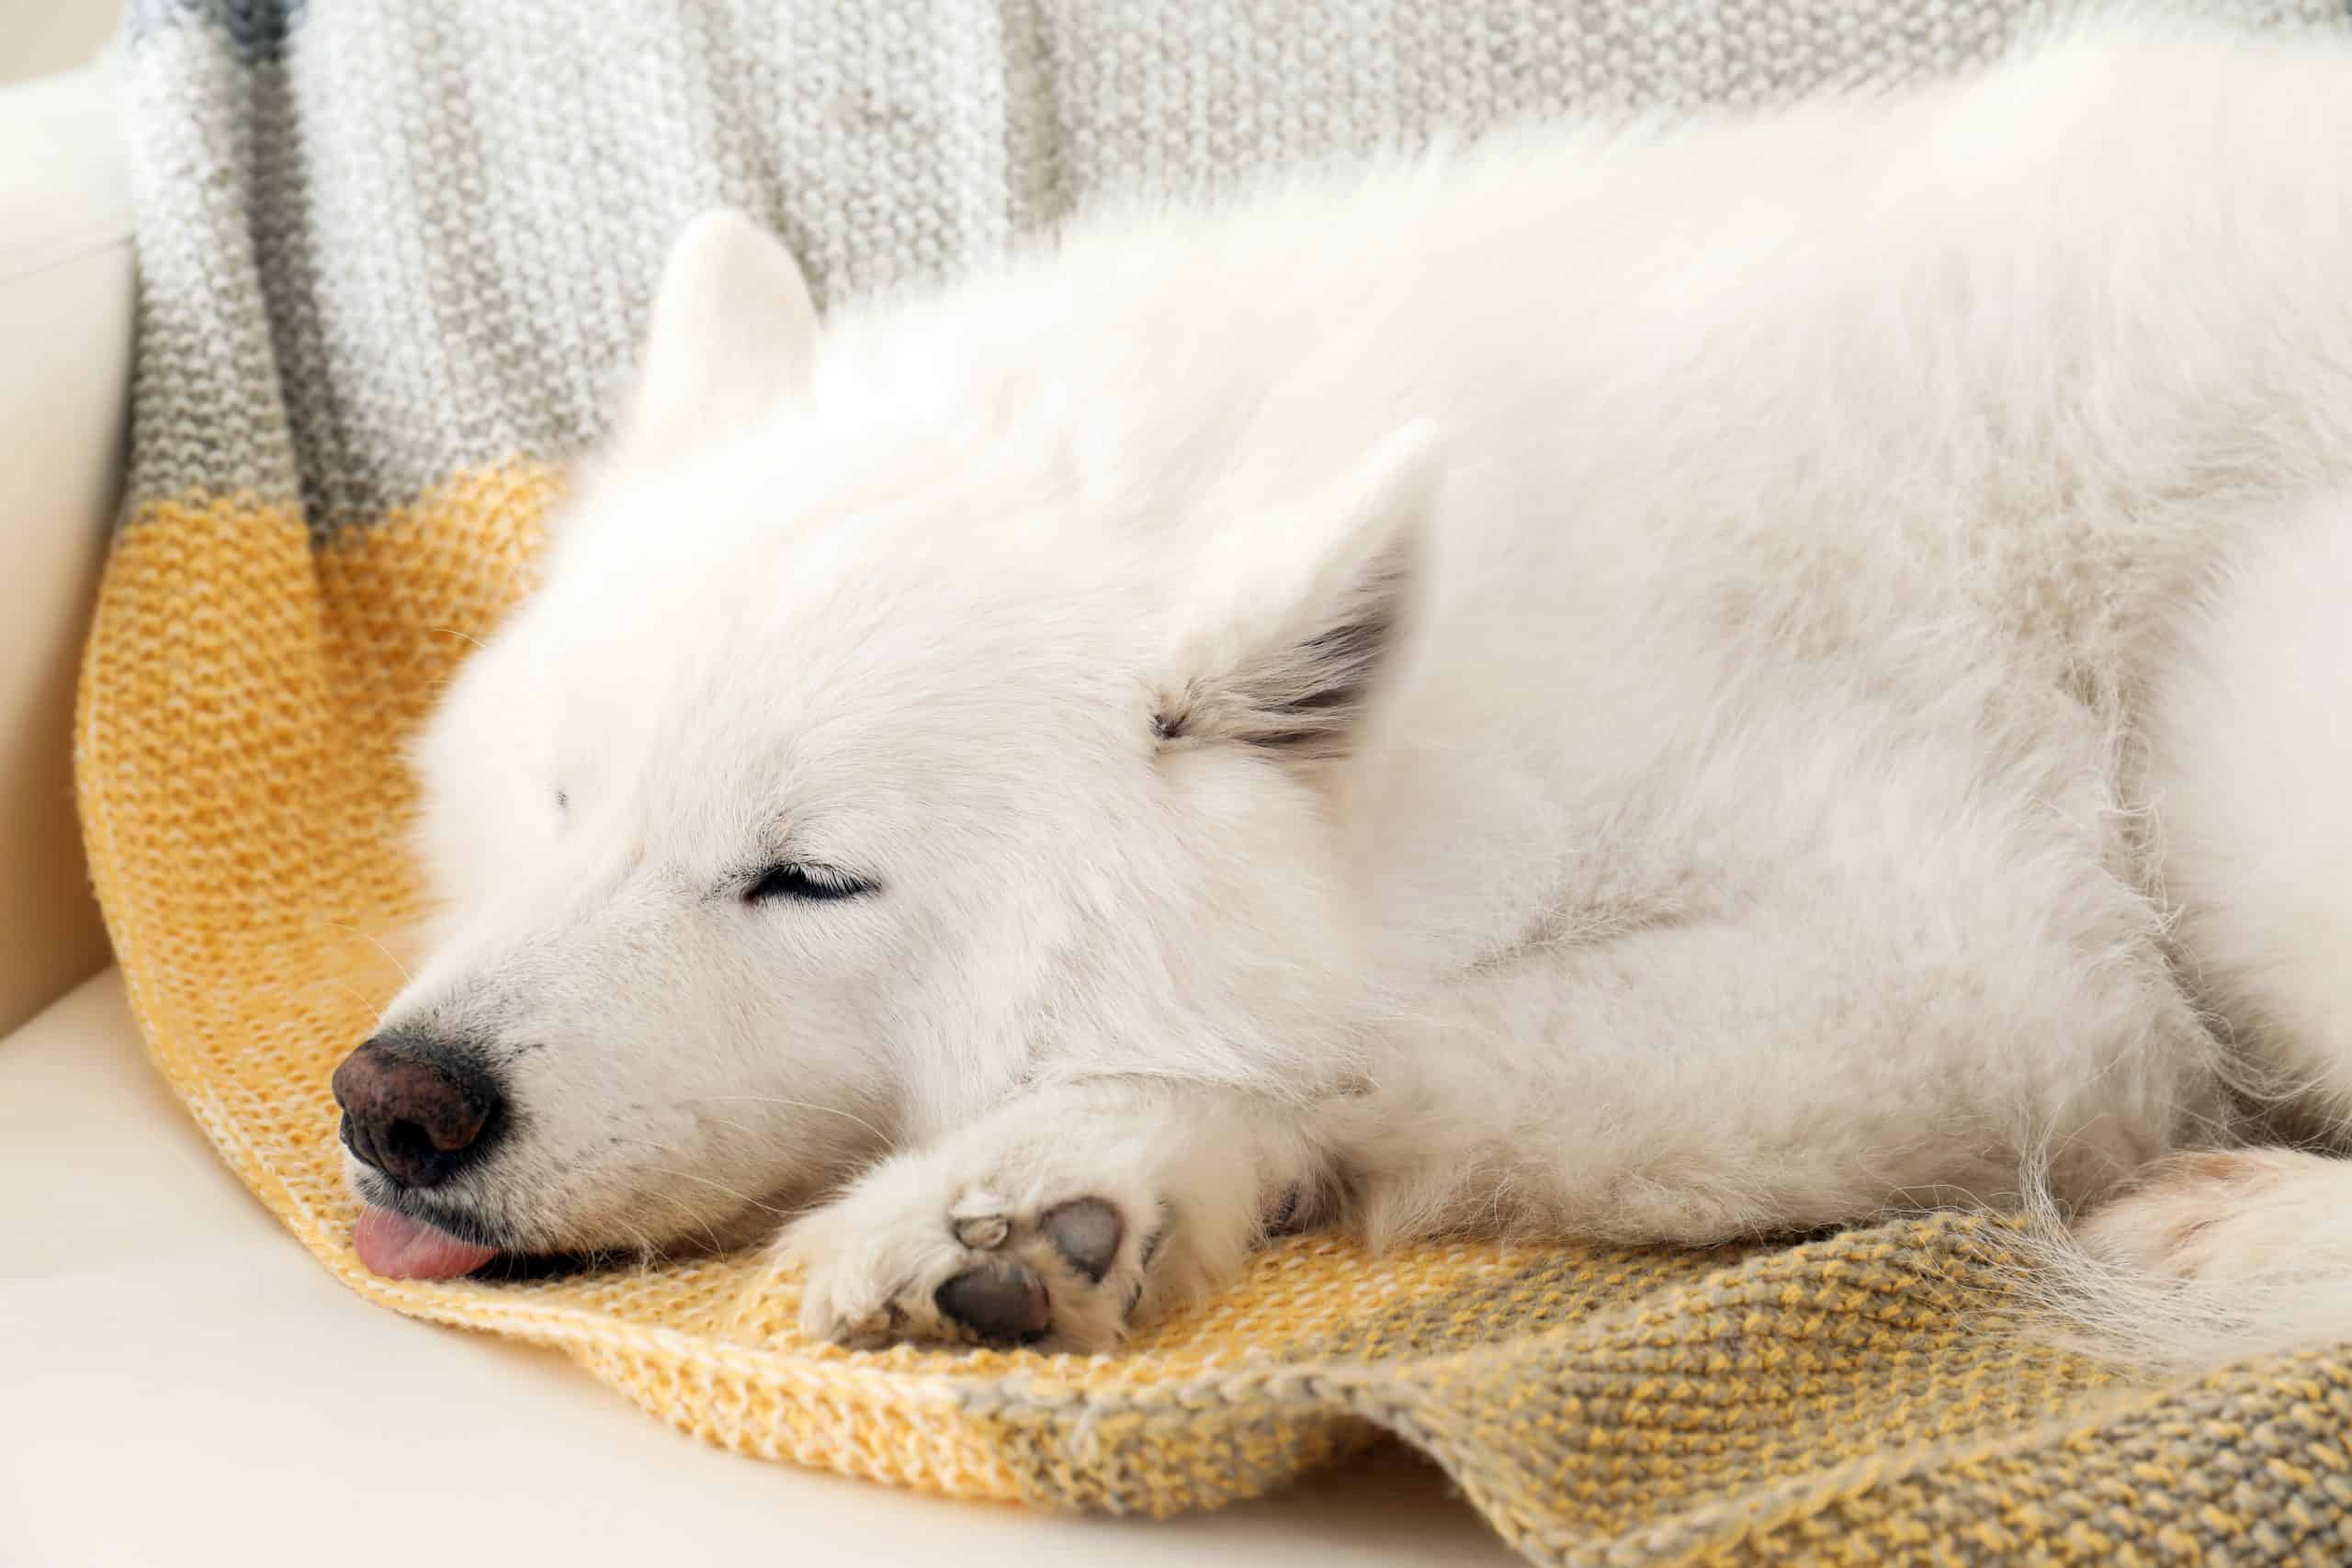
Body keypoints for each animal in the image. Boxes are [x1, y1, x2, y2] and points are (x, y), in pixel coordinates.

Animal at [331, 17, 2352, 1372]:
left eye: (807, 879)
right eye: (569, 796)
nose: (395, 1103)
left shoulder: (1985, 956)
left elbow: (1350, 1031)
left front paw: (1061, 1159)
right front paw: (1063, 1204)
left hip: (2224, 700)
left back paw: (2239, 1223)